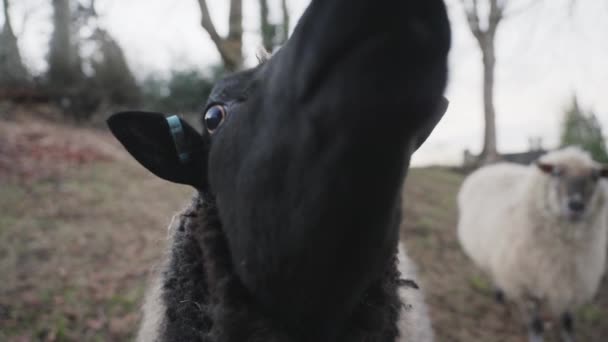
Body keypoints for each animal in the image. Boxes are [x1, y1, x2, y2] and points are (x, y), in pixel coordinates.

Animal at [458, 146, 604, 340]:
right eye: (556, 172)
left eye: (595, 177)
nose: (576, 205)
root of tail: (492, 166)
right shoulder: (527, 277)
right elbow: (535, 314)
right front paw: (536, 334)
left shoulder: (574, 278)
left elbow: (567, 317)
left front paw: (568, 336)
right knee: (495, 276)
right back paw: (499, 296)